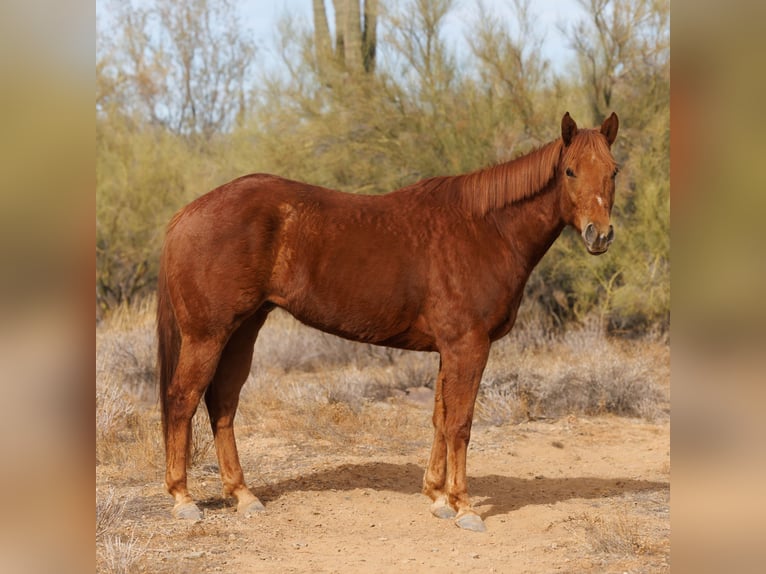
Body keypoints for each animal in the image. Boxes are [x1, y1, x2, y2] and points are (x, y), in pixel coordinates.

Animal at [159, 110, 620, 532]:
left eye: (614, 170)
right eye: (570, 171)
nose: (599, 235)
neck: (485, 228)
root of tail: (187, 213)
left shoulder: (449, 349)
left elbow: (440, 419)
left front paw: (438, 497)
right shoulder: (468, 346)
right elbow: (461, 424)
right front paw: (465, 508)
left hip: (243, 331)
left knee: (222, 404)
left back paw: (243, 495)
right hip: (206, 335)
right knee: (182, 400)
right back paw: (183, 500)